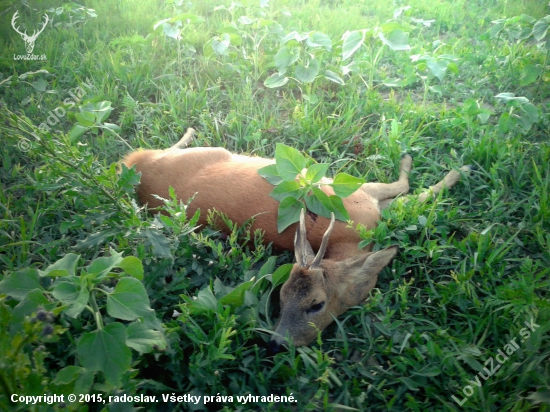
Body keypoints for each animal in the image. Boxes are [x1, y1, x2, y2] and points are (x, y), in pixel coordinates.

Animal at [125, 127, 470, 352]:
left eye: (316, 304)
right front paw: (454, 169)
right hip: (205, 153)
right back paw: (188, 131)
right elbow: (408, 189)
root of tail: (136, 170)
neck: (350, 238)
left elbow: (407, 190)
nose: (276, 345)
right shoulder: (361, 194)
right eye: (281, 296)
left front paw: (448, 168)